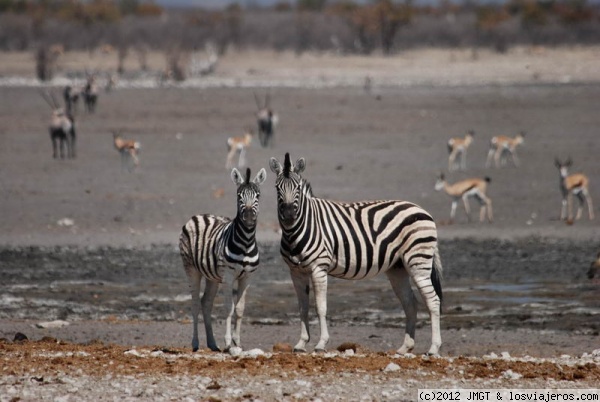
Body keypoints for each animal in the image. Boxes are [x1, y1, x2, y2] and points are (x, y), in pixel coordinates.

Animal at [178, 166, 268, 352]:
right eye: (239, 196)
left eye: (258, 195)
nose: (249, 219)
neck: (246, 242)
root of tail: (198, 215)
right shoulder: (228, 276)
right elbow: (229, 308)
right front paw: (227, 342)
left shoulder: (247, 277)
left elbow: (240, 309)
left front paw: (237, 342)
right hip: (191, 269)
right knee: (195, 303)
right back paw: (195, 343)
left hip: (212, 276)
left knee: (206, 303)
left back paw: (212, 344)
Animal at [270, 153, 442, 354]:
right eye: (277, 188)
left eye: (297, 187)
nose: (289, 215)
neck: (297, 230)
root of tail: (421, 209)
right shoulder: (296, 272)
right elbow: (302, 308)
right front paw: (301, 343)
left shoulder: (318, 268)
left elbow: (320, 307)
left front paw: (321, 344)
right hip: (397, 268)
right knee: (410, 303)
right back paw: (404, 348)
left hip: (418, 260)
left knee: (433, 301)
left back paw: (433, 348)